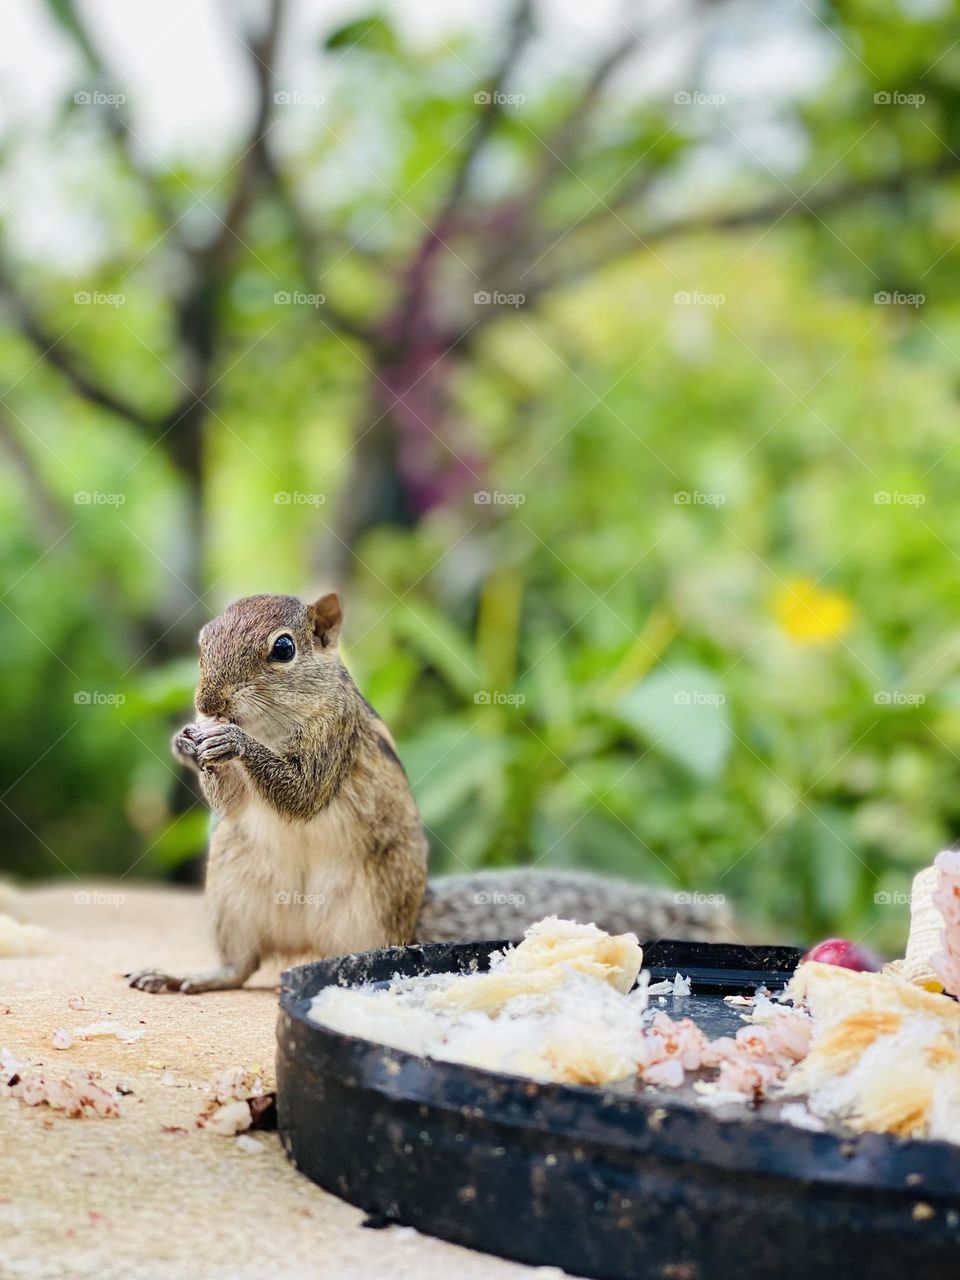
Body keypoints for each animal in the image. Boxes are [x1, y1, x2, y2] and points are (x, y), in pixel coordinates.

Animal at [127, 593, 732, 993]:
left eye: (283, 648)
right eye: (203, 641)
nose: (208, 702)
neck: (272, 724)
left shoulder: (336, 738)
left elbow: (302, 793)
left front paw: (230, 741)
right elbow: (232, 803)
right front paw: (189, 741)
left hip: (368, 914)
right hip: (235, 899)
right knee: (242, 966)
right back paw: (188, 977)